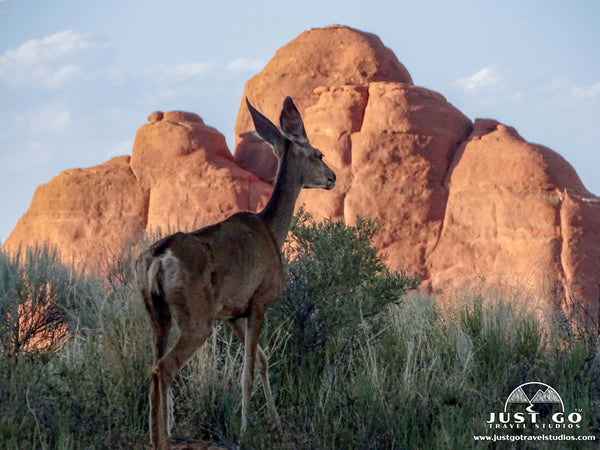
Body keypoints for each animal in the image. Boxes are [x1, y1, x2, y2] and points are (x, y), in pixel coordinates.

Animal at [135, 96, 338, 448]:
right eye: (319, 153)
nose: (332, 177)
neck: (272, 230)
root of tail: (160, 259)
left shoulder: (231, 313)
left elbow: (262, 360)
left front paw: (274, 421)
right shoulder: (259, 301)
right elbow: (248, 370)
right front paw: (246, 428)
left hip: (157, 315)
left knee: (152, 366)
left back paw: (157, 434)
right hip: (195, 317)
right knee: (164, 368)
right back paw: (164, 440)